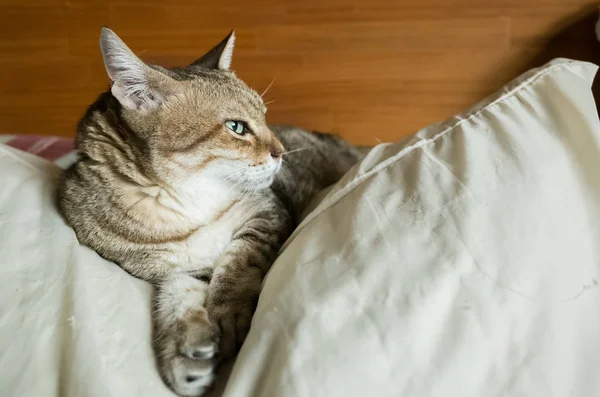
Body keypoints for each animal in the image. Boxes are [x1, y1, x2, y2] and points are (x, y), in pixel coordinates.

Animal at [58, 28, 364, 396]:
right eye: (237, 127)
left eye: (265, 117)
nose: (281, 152)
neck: (185, 206)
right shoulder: (167, 268)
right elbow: (177, 291)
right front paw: (185, 351)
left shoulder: (266, 213)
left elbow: (239, 263)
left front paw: (228, 313)